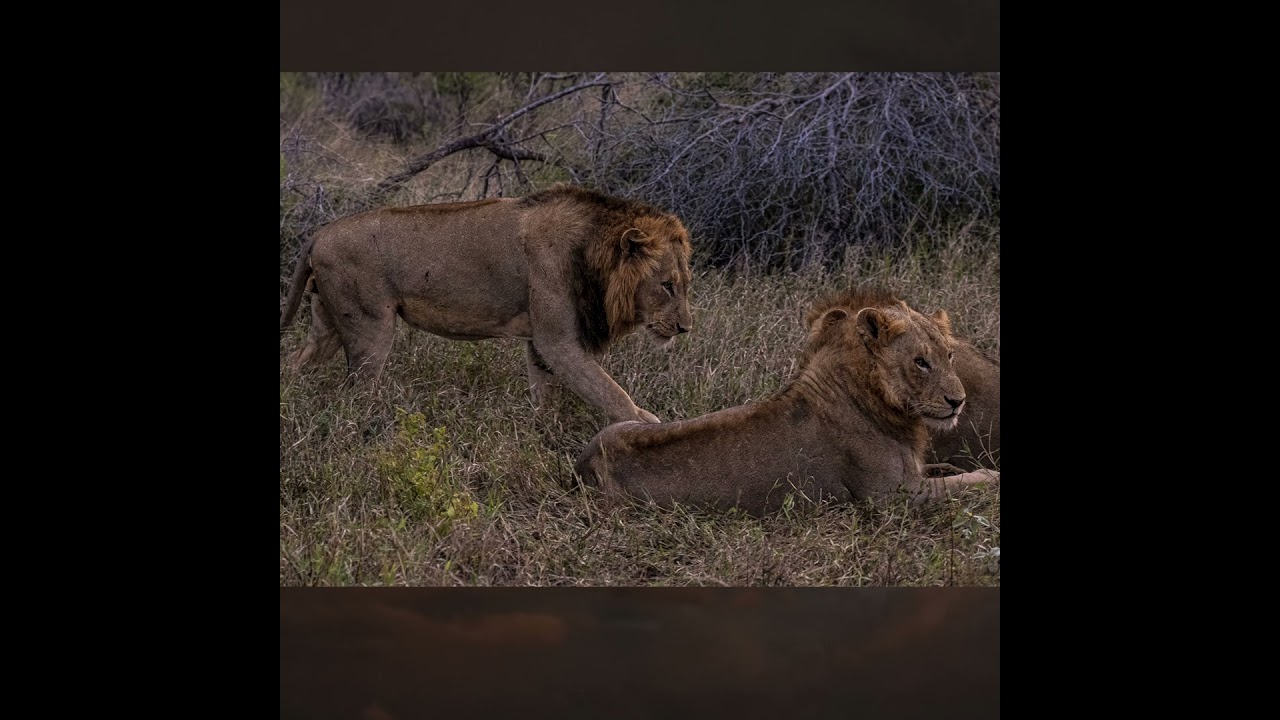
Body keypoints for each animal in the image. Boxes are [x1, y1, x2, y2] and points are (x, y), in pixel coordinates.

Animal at [280, 184, 694, 424]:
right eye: (667, 286)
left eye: (685, 285)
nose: (685, 328)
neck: (594, 252)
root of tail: (320, 233)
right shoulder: (559, 342)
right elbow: (613, 394)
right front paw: (651, 427)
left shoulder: (541, 343)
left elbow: (545, 395)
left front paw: (542, 433)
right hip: (371, 329)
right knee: (354, 394)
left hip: (328, 323)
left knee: (295, 362)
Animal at [574, 290, 998, 516]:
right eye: (920, 362)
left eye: (950, 355)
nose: (958, 401)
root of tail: (585, 464)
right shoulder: (894, 498)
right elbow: (962, 484)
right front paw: (991, 476)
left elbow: (948, 470)